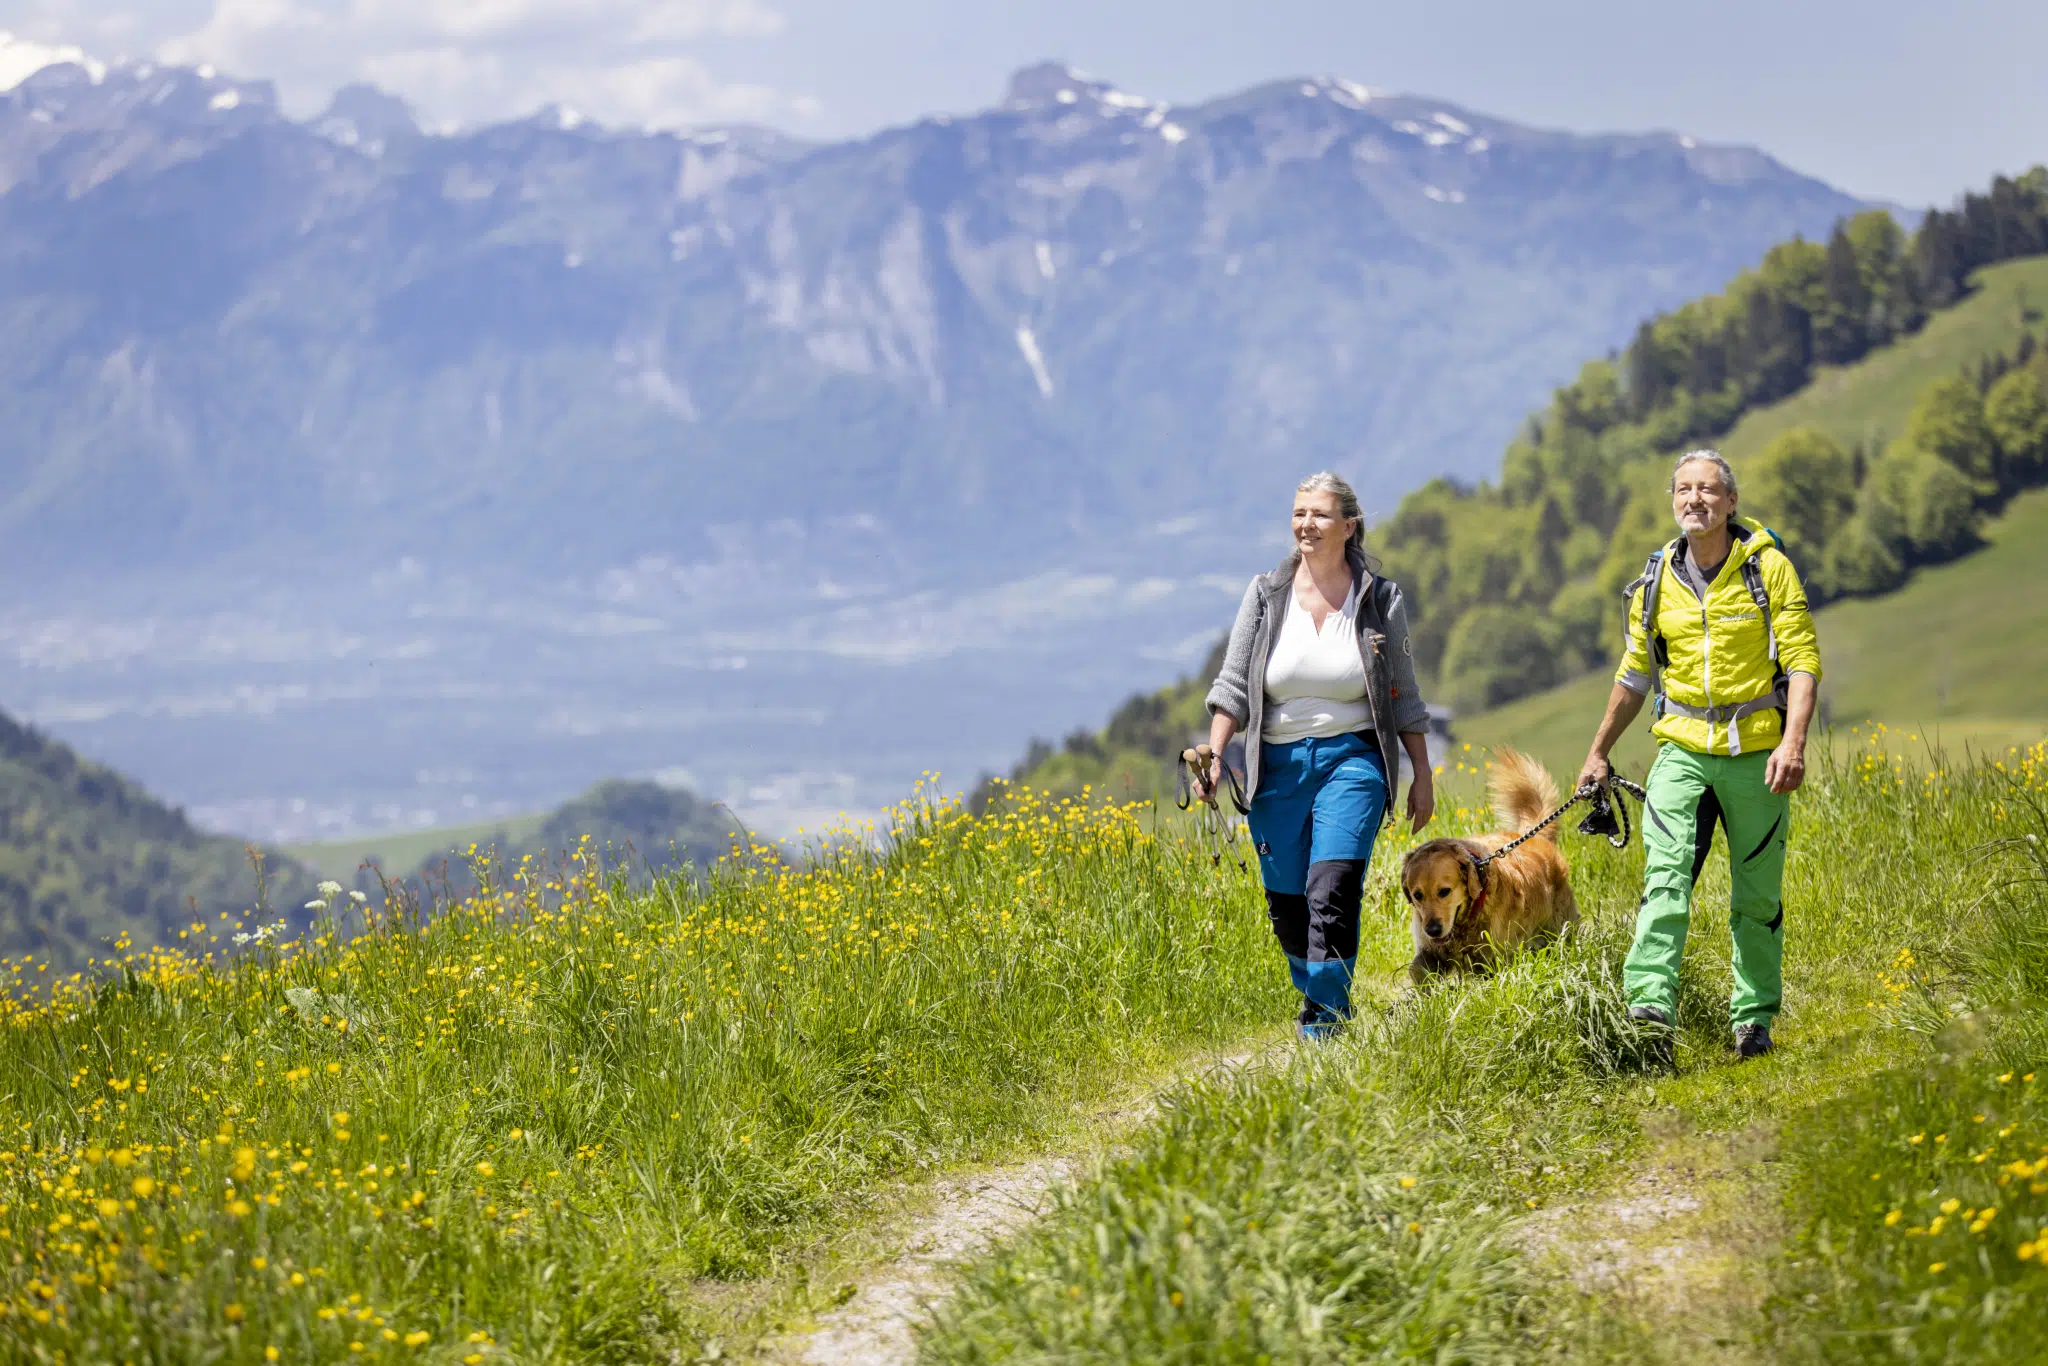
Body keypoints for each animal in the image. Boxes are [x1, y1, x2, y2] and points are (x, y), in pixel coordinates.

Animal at [1400, 749, 1572, 983]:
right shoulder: (1430, 950)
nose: (1433, 930)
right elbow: (1417, 970)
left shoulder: (1491, 959)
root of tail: (1535, 837)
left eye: (1444, 891)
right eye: (1417, 895)